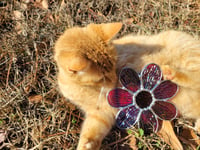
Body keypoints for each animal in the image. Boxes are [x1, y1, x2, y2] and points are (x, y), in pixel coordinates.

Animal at [54, 22, 199, 150]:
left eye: (114, 65)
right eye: (102, 78)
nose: (114, 79)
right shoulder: (100, 114)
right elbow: (90, 132)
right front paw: (86, 145)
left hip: (187, 56)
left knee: (196, 77)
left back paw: (170, 73)